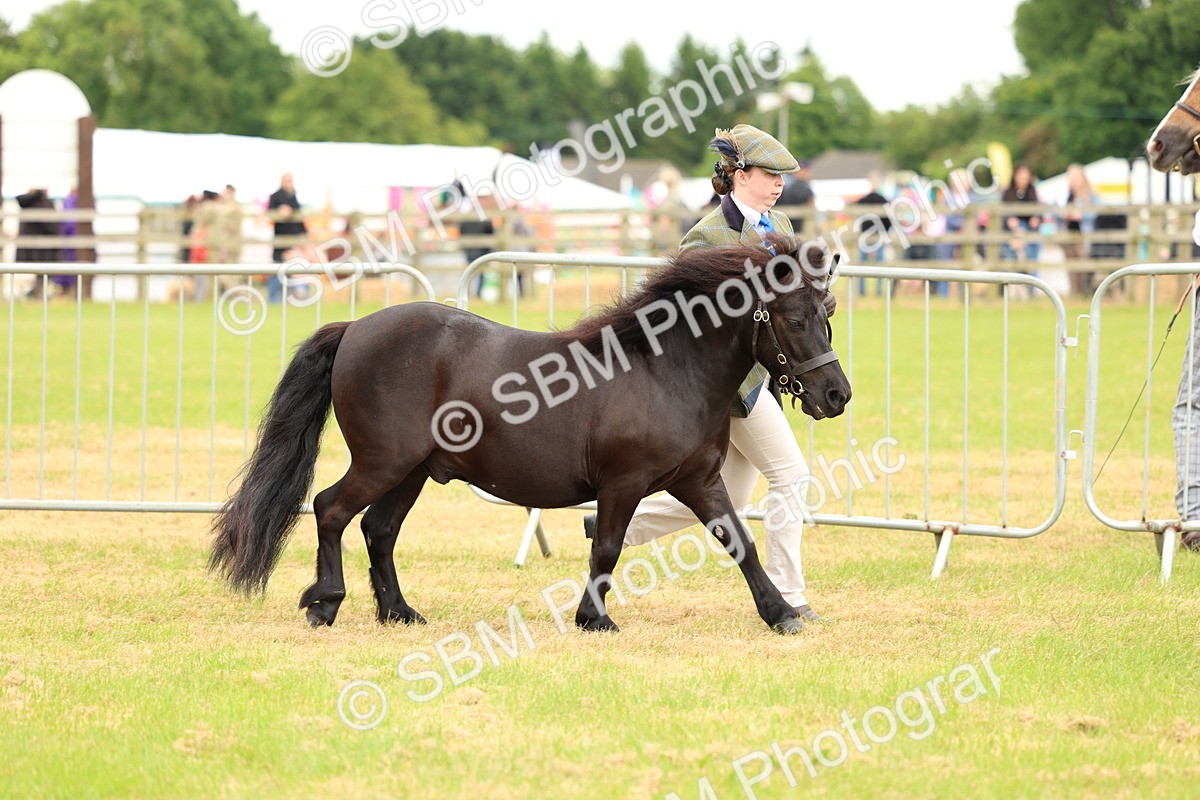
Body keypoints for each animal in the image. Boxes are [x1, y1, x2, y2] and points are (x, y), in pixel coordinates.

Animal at [208, 234, 851, 635]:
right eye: (796, 318)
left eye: (830, 315)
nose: (837, 396)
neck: (664, 368)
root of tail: (356, 328)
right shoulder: (622, 484)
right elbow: (607, 546)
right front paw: (595, 618)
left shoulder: (699, 481)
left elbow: (739, 542)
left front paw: (781, 613)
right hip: (382, 462)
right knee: (331, 510)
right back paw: (325, 604)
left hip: (410, 472)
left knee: (379, 529)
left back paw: (398, 611)